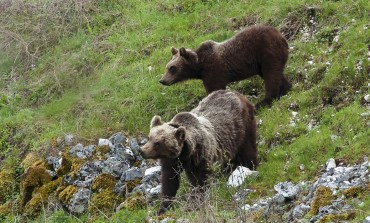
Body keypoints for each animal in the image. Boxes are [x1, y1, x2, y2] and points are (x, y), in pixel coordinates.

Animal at [160, 24, 290, 109]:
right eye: (167, 67)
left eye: (172, 68)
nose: (162, 80)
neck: (199, 66)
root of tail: (281, 35)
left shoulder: (213, 71)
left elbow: (214, 88)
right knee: (275, 73)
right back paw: (285, 89)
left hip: (266, 51)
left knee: (271, 75)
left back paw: (263, 102)